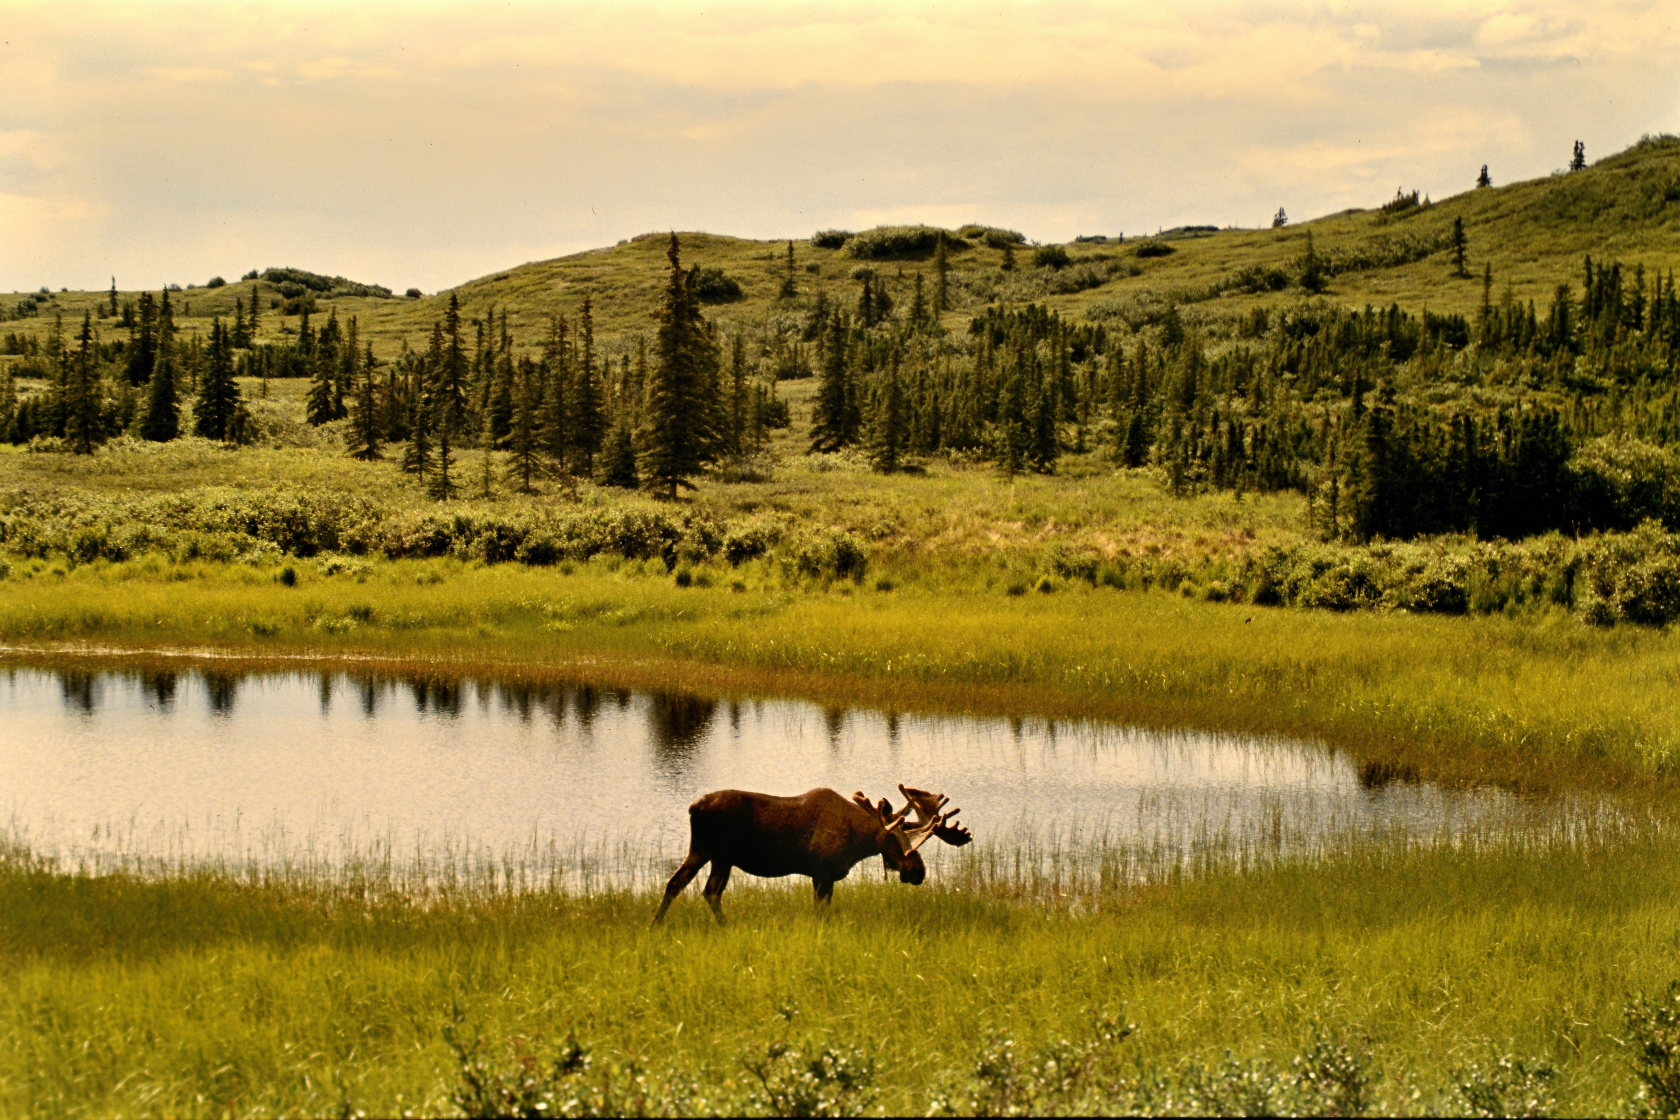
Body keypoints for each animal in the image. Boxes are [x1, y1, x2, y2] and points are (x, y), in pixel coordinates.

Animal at [651, 785, 974, 926]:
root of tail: (692, 808)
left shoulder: (825, 878)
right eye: (897, 843)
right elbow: (821, 911)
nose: (918, 873)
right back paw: (724, 925)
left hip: (701, 850)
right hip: (721, 854)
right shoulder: (822, 873)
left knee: (676, 883)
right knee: (709, 891)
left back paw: (657, 924)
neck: (858, 842)